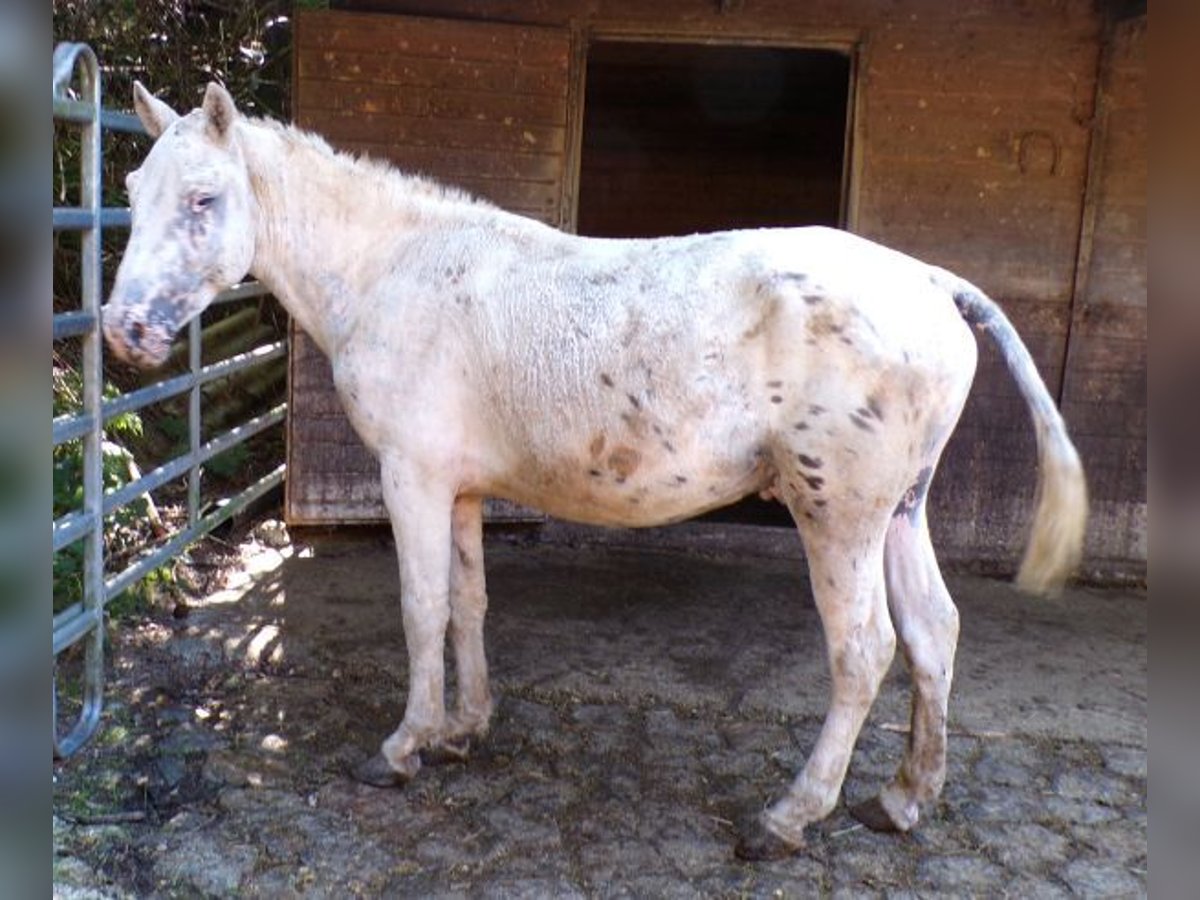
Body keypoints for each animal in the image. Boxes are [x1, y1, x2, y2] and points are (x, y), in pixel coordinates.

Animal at [98, 82, 1084, 859]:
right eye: (134, 192)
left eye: (202, 198)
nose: (124, 332)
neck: (396, 269)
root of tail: (930, 282)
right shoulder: (460, 489)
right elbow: (467, 604)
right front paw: (463, 730)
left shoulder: (412, 478)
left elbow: (421, 610)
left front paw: (403, 747)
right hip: (897, 512)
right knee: (932, 632)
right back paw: (905, 799)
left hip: (837, 516)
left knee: (865, 651)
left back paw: (790, 817)